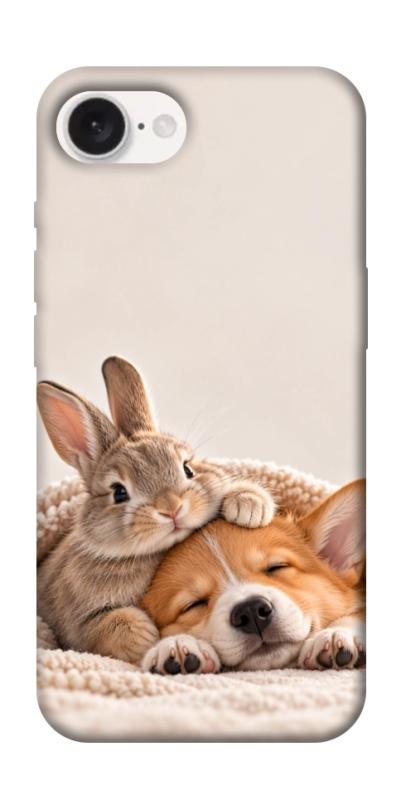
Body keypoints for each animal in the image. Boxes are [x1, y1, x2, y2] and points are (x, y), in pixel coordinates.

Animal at [37, 356, 276, 664]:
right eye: (119, 492)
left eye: (187, 469)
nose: (171, 508)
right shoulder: (78, 623)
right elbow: (108, 626)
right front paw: (147, 638)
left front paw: (249, 505)